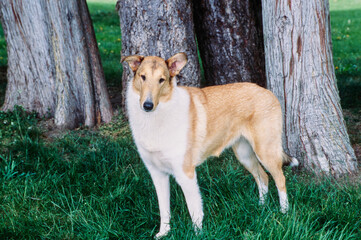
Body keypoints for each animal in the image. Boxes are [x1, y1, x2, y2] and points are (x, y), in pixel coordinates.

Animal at [122, 52, 296, 238]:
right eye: (143, 77)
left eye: (162, 80)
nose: (147, 105)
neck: (155, 118)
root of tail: (268, 92)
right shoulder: (157, 174)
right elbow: (164, 209)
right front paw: (164, 233)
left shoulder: (186, 174)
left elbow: (194, 210)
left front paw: (198, 235)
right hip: (244, 154)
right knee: (262, 177)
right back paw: (261, 208)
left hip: (265, 151)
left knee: (280, 179)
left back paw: (284, 213)